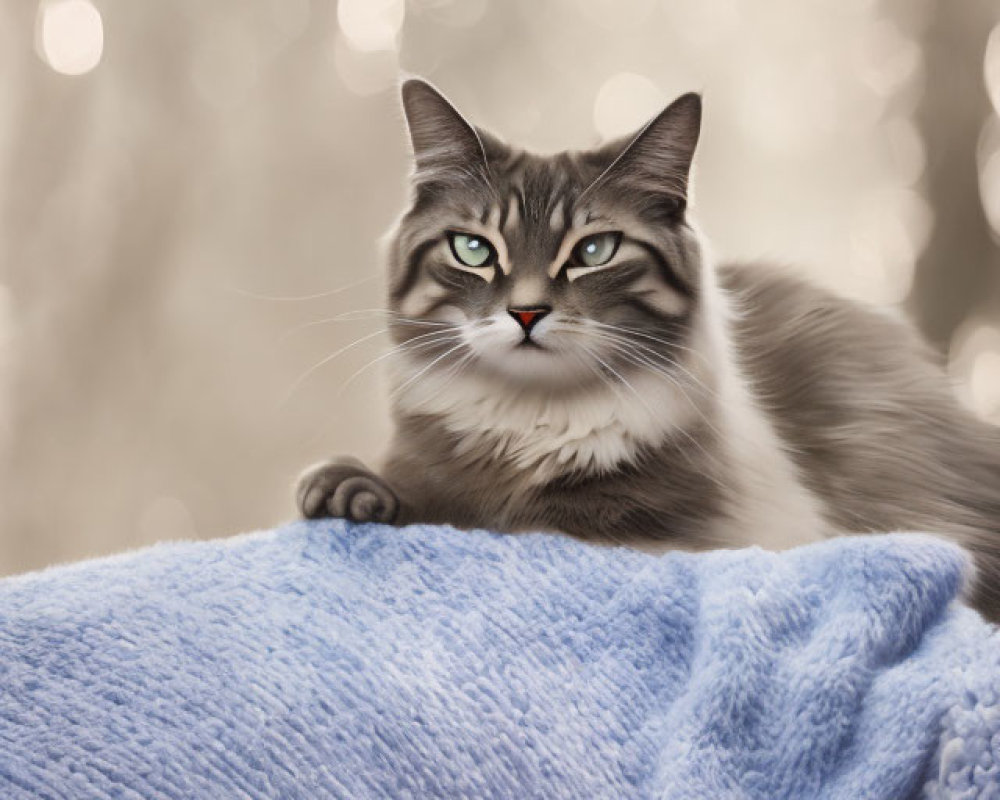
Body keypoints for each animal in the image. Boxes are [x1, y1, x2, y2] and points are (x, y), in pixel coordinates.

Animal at [294, 79, 1000, 620]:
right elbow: (414, 493)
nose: (526, 312)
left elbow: (525, 524)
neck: (531, 419)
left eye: (593, 251)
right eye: (473, 249)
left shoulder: (669, 531)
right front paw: (345, 492)